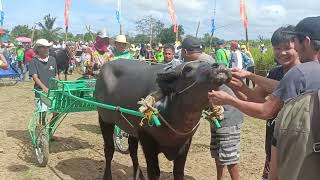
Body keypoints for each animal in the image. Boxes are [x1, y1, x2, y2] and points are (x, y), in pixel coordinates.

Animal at [94, 58, 231, 179]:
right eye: (188, 69)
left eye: (207, 63)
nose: (219, 66)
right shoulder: (146, 138)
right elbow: (154, 172)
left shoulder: (185, 142)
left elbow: (178, 172)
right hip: (104, 119)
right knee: (109, 149)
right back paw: (107, 176)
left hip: (131, 128)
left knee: (132, 150)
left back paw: (138, 175)